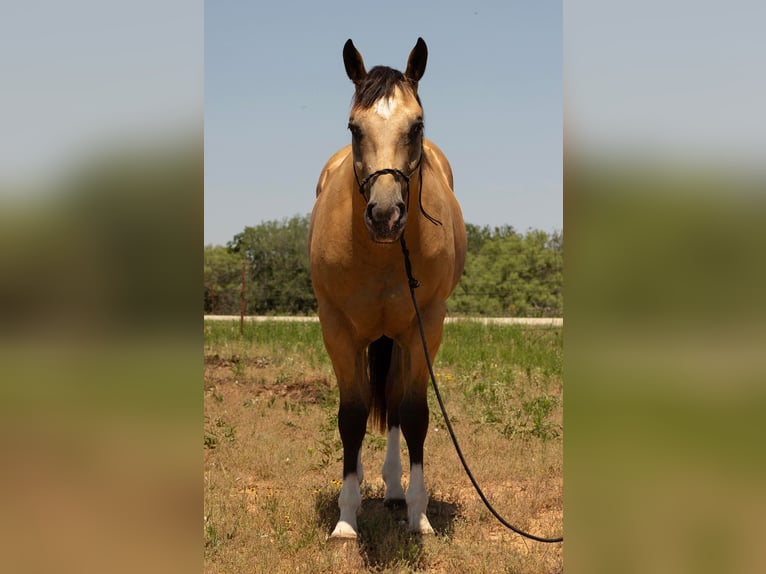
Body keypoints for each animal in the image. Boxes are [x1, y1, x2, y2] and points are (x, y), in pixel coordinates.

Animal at [308, 38, 468, 544]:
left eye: (416, 125)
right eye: (353, 127)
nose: (384, 215)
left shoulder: (424, 326)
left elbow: (413, 413)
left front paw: (419, 516)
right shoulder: (337, 329)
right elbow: (352, 416)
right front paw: (346, 518)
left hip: (398, 337)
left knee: (395, 406)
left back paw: (396, 491)